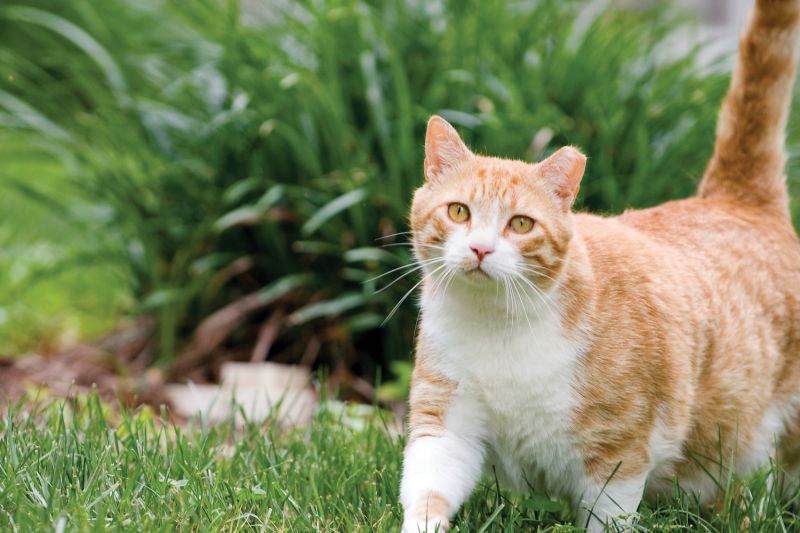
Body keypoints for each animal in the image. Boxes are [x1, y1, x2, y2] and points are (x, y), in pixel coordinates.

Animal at [404, 2, 800, 528]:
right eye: (458, 212)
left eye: (521, 224)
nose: (481, 249)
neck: (496, 326)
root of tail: (736, 198)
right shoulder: (446, 424)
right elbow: (428, 491)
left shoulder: (619, 452)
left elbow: (608, 514)